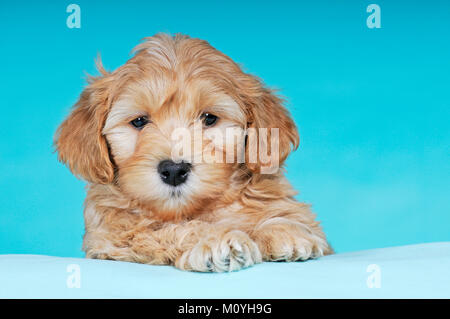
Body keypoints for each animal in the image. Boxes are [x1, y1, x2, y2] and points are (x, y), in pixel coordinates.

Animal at [54, 33, 332, 272]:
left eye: (209, 118)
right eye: (139, 121)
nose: (174, 170)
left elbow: (287, 213)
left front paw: (286, 229)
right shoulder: (116, 237)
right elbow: (170, 230)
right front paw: (216, 240)